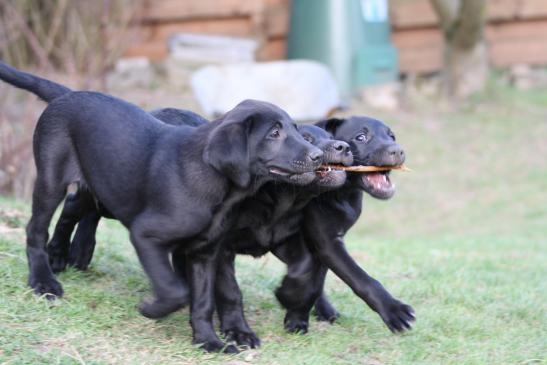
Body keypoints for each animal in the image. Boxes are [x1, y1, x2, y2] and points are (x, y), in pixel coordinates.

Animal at [0, 61, 326, 352]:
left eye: (297, 130)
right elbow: (175, 290)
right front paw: (151, 309)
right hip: (52, 178)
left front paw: (208, 341)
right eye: (274, 133)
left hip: (104, 184)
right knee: (37, 228)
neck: (216, 184)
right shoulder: (146, 235)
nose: (319, 156)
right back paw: (43, 281)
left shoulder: (205, 252)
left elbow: (204, 301)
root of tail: (68, 94)